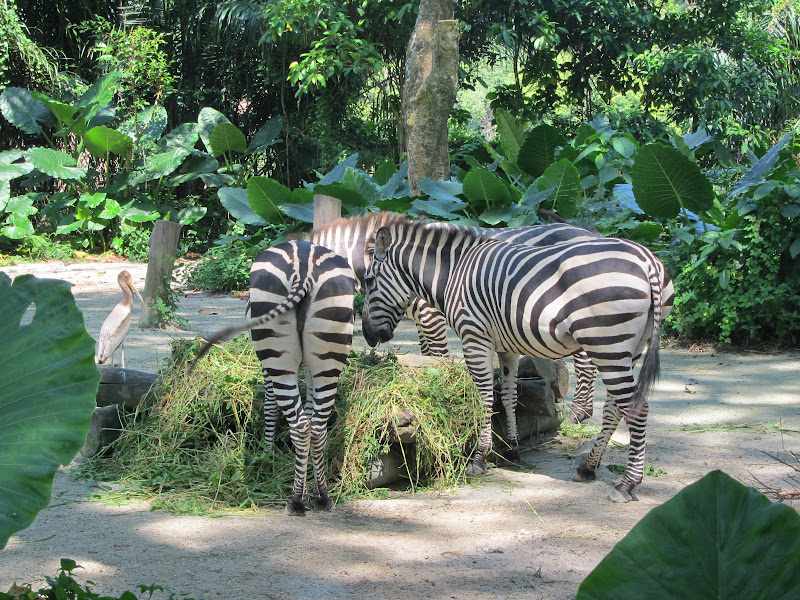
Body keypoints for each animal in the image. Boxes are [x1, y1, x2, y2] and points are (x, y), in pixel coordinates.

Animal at [192, 239, 354, 516]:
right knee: (316, 426)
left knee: (299, 425)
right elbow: (309, 409)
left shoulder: (266, 368)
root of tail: (303, 264)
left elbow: (270, 406)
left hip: (274, 354)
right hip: (330, 351)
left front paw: (267, 455)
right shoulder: (309, 368)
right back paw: (321, 497)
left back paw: (295, 501)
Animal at [310, 213, 672, 424]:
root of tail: (586, 232)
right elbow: (429, 356)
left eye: (370, 282)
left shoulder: (430, 315)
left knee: (587, 362)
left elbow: (438, 355)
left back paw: (579, 412)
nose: (369, 337)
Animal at [360, 219, 664, 502]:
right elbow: (508, 396)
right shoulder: (508, 348)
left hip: (607, 343)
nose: (368, 336)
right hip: (628, 349)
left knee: (637, 408)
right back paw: (588, 467)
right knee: (614, 409)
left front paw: (479, 458)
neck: (453, 273)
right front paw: (513, 448)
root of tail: (647, 260)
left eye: (369, 281)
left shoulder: (475, 338)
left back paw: (627, 485)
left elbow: (484, 398)